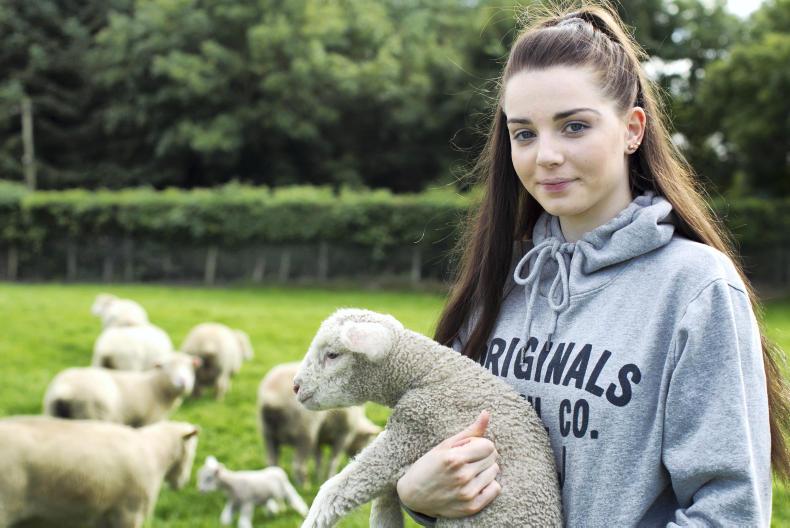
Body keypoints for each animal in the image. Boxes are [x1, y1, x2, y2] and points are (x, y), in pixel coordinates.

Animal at [43, 352, 199, 427]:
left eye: (189, 367)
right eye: (166, 367)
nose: (183, 382)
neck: (155, 386)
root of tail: (65, 390)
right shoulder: (149, 421)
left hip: (52, 412)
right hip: (93, 414)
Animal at [293, 308, 563, 528]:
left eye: (332, 355)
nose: (295, 386)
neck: (425, 372)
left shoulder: (413, 431)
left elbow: (339, 488)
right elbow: (384, 497)